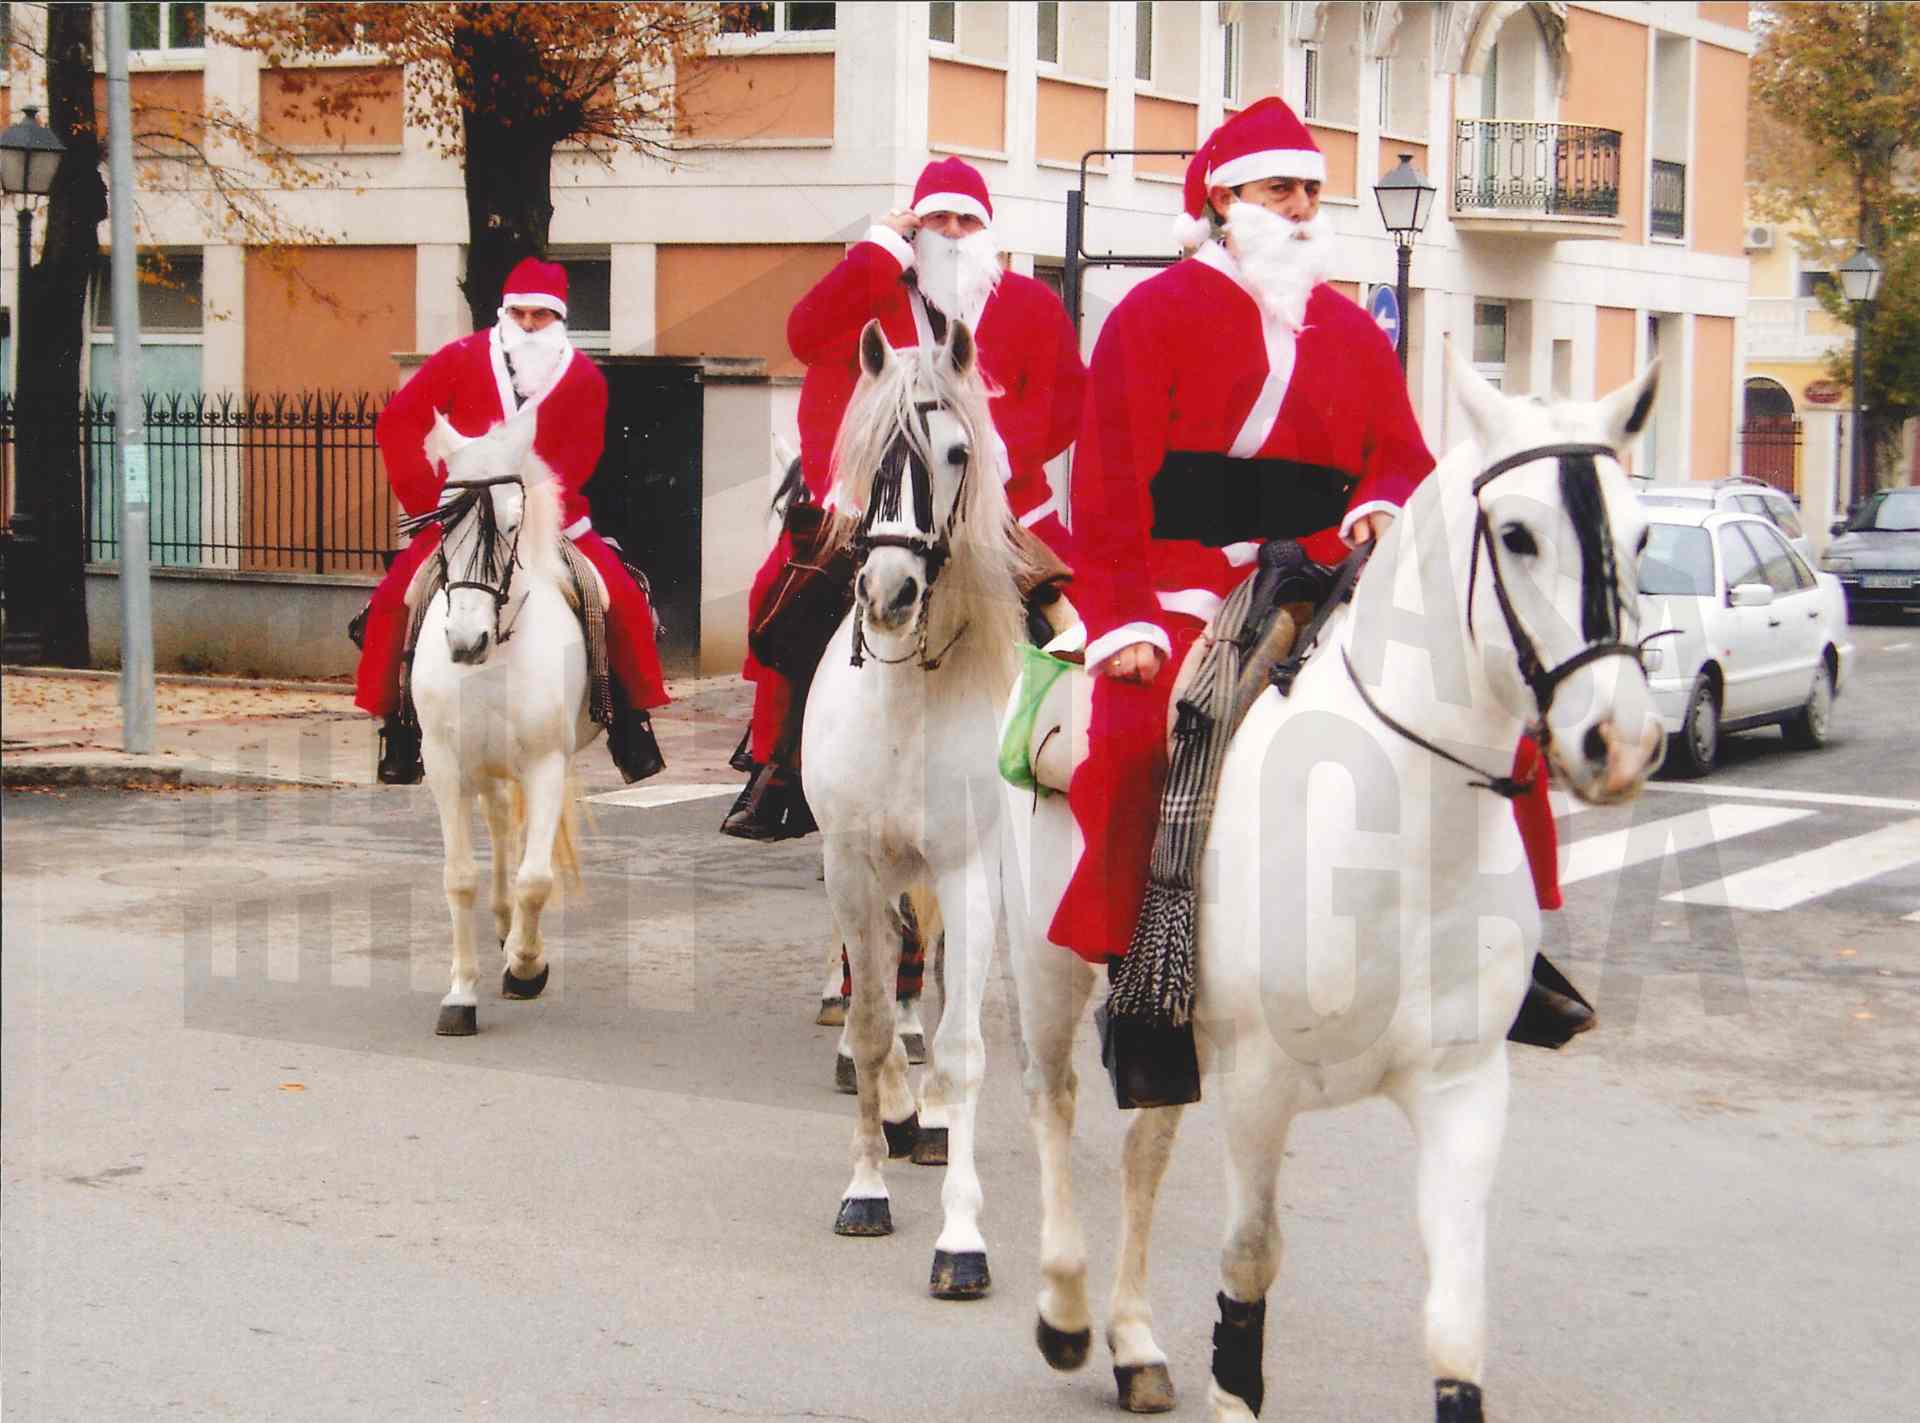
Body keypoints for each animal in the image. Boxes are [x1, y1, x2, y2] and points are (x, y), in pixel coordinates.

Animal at [408, 408, 597, 1038]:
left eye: (512, 523)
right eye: (442, 525)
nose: (466, 643)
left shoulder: (546, 763)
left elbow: (536, 879)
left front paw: (525, 965)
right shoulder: (444, 766)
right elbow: (459, 876)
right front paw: (461, 994)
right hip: (482, 766)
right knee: (496, 823)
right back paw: (499, 920)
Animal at [1002, 352, 1668, 1420]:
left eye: (1640, 534)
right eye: (1518, 534)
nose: (1622, 741)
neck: (1401, 837)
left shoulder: (1463, 1088)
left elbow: (1454, 1319)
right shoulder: (1260, 1086)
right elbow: (1249, 1266)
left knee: (1146, 1144)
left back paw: (1134, 1340)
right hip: (1047, 960)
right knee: (1053, 1100)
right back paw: (1064, 1308)